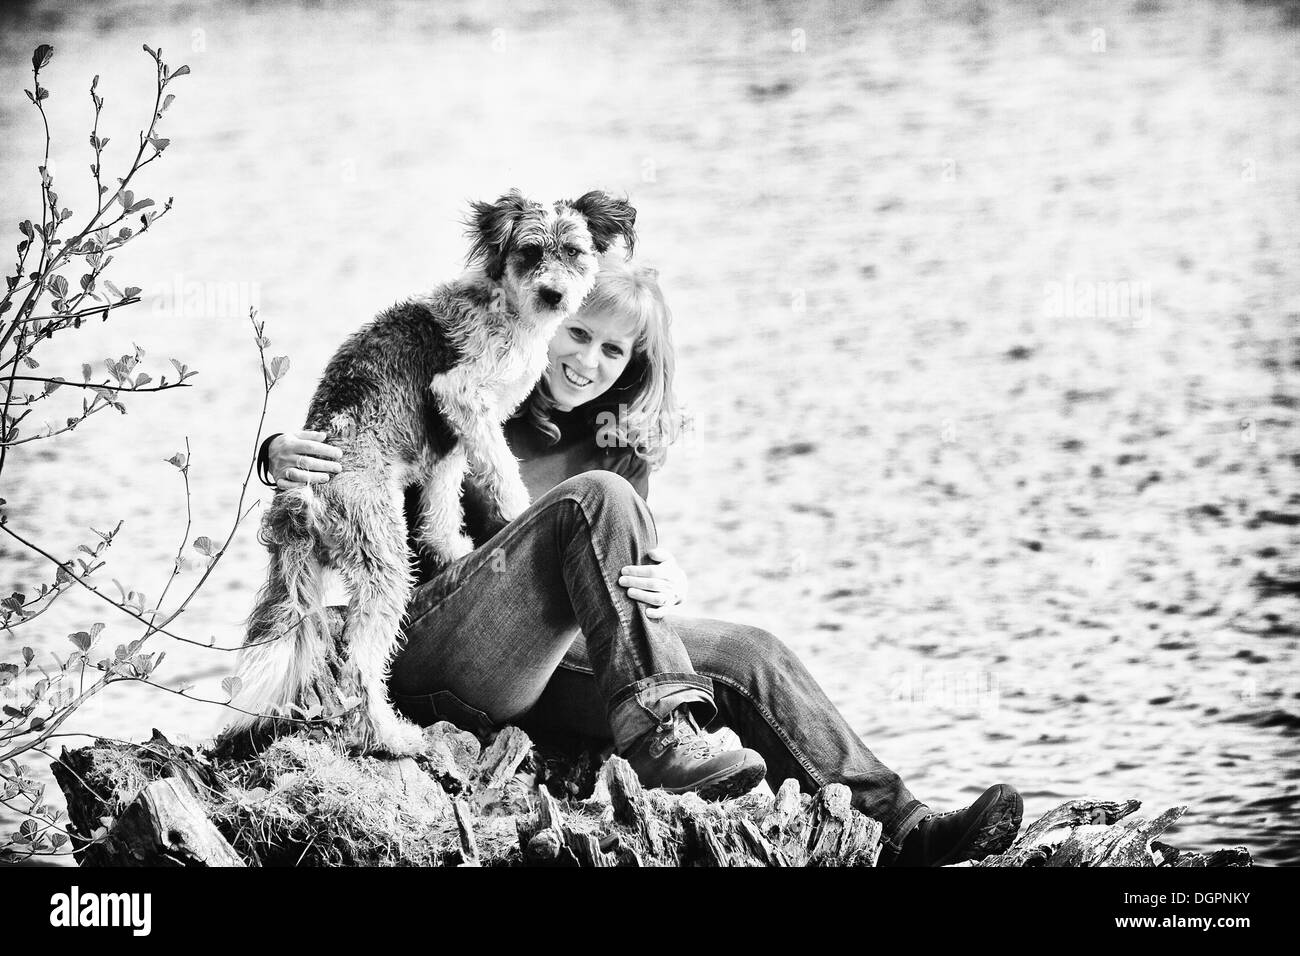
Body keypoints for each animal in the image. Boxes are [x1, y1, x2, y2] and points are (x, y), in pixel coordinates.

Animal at [224, 188, 639, 754]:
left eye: (574, 251)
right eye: (530, 251)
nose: (553, 294)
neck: (506, 310)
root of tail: (304, 495)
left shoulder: (447, 445)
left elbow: (442, 502)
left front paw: (452, 550)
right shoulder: (461, 397)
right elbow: (502, 468)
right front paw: (520, 511)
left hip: (304, 578)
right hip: (381, 561)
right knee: (357, 666)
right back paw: (393, 736)